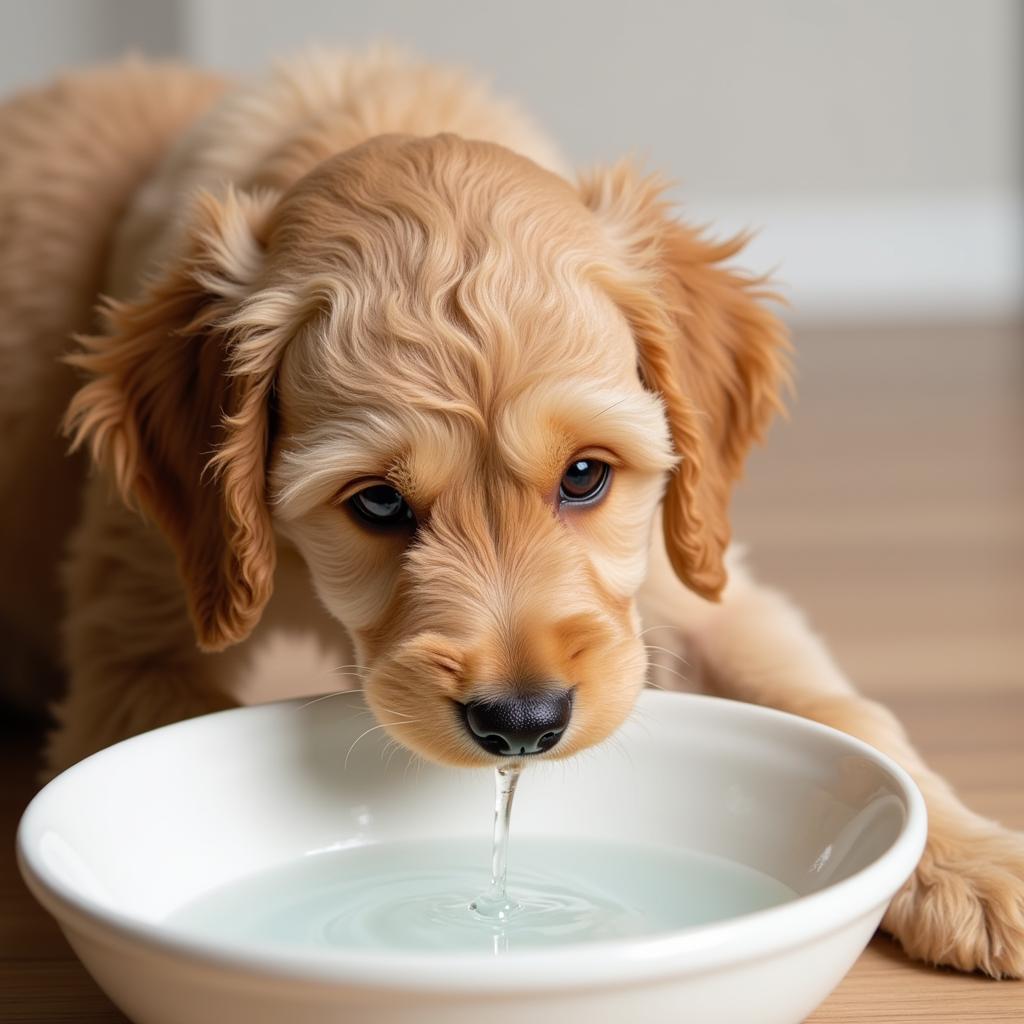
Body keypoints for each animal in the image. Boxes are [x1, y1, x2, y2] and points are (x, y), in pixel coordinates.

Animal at [0, 48, 1019, 974]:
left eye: (585, 476)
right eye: (376, 500)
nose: (522, 726)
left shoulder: (679, 574)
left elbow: (835, 705)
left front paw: (972, 865)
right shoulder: (138, 625)